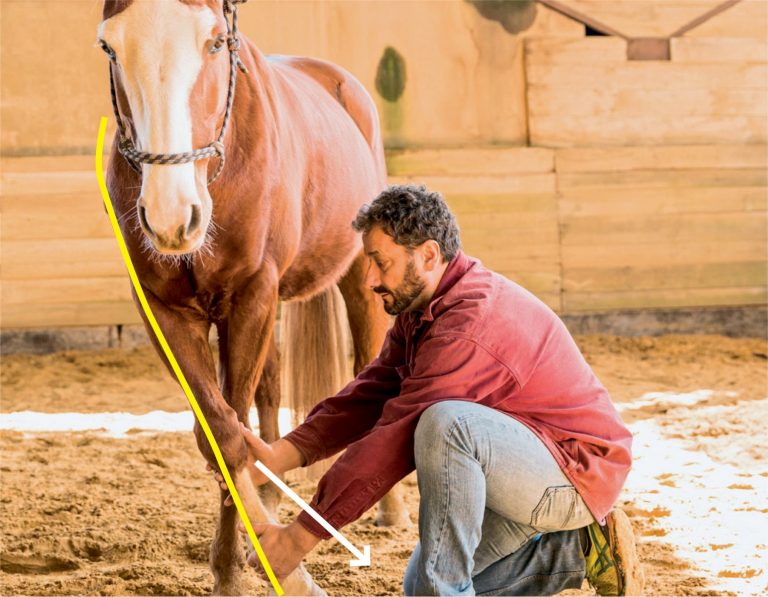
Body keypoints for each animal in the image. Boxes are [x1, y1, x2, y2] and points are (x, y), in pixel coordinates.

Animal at [98, 0, 408, 593]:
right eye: (110, 46)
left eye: (216, 41)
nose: (171, 217)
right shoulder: (164, 312)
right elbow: (221, 431)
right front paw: (234, 564)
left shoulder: (252, 297)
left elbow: (232, 426)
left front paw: (263, 568)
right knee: (269, 388)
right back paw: (268, 490)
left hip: (357, 278)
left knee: (364, 362)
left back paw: (393, 511)